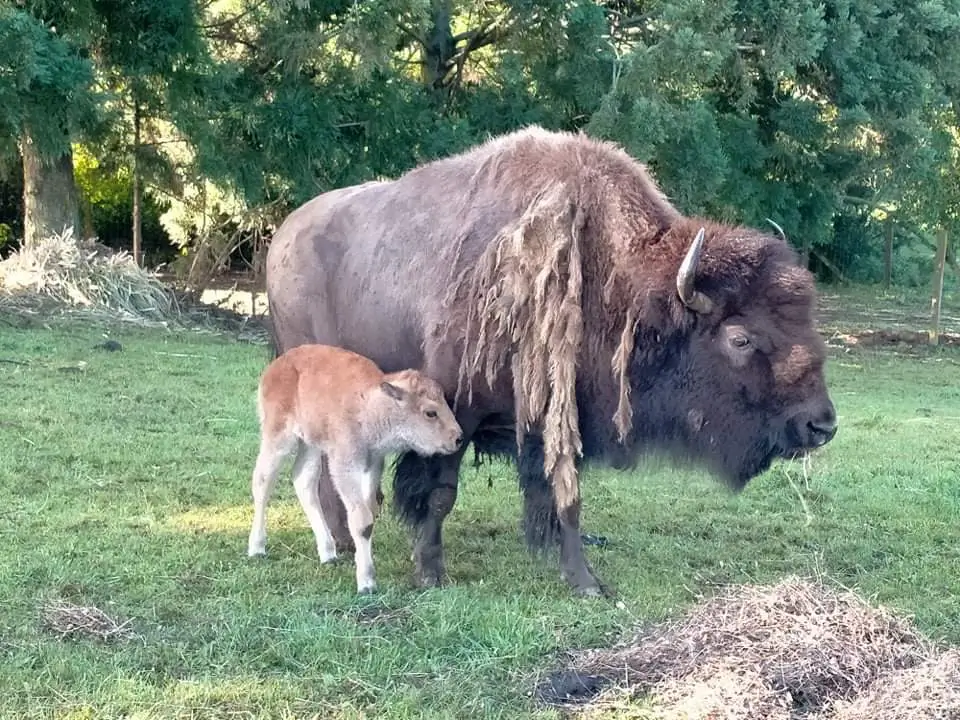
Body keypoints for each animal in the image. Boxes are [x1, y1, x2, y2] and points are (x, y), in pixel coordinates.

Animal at [249, 346, 464, 592]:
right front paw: (367, 582)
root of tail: (277, 365)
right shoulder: (345, 467)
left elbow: (369, 510)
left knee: (303, 480)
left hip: (311, 445)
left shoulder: (373, 464)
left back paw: (328, 553)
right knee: (263, 481)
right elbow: (361, 519)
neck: (369, 407)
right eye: (430, 412)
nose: (458, 438)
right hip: (278, 437)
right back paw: (257, 548)